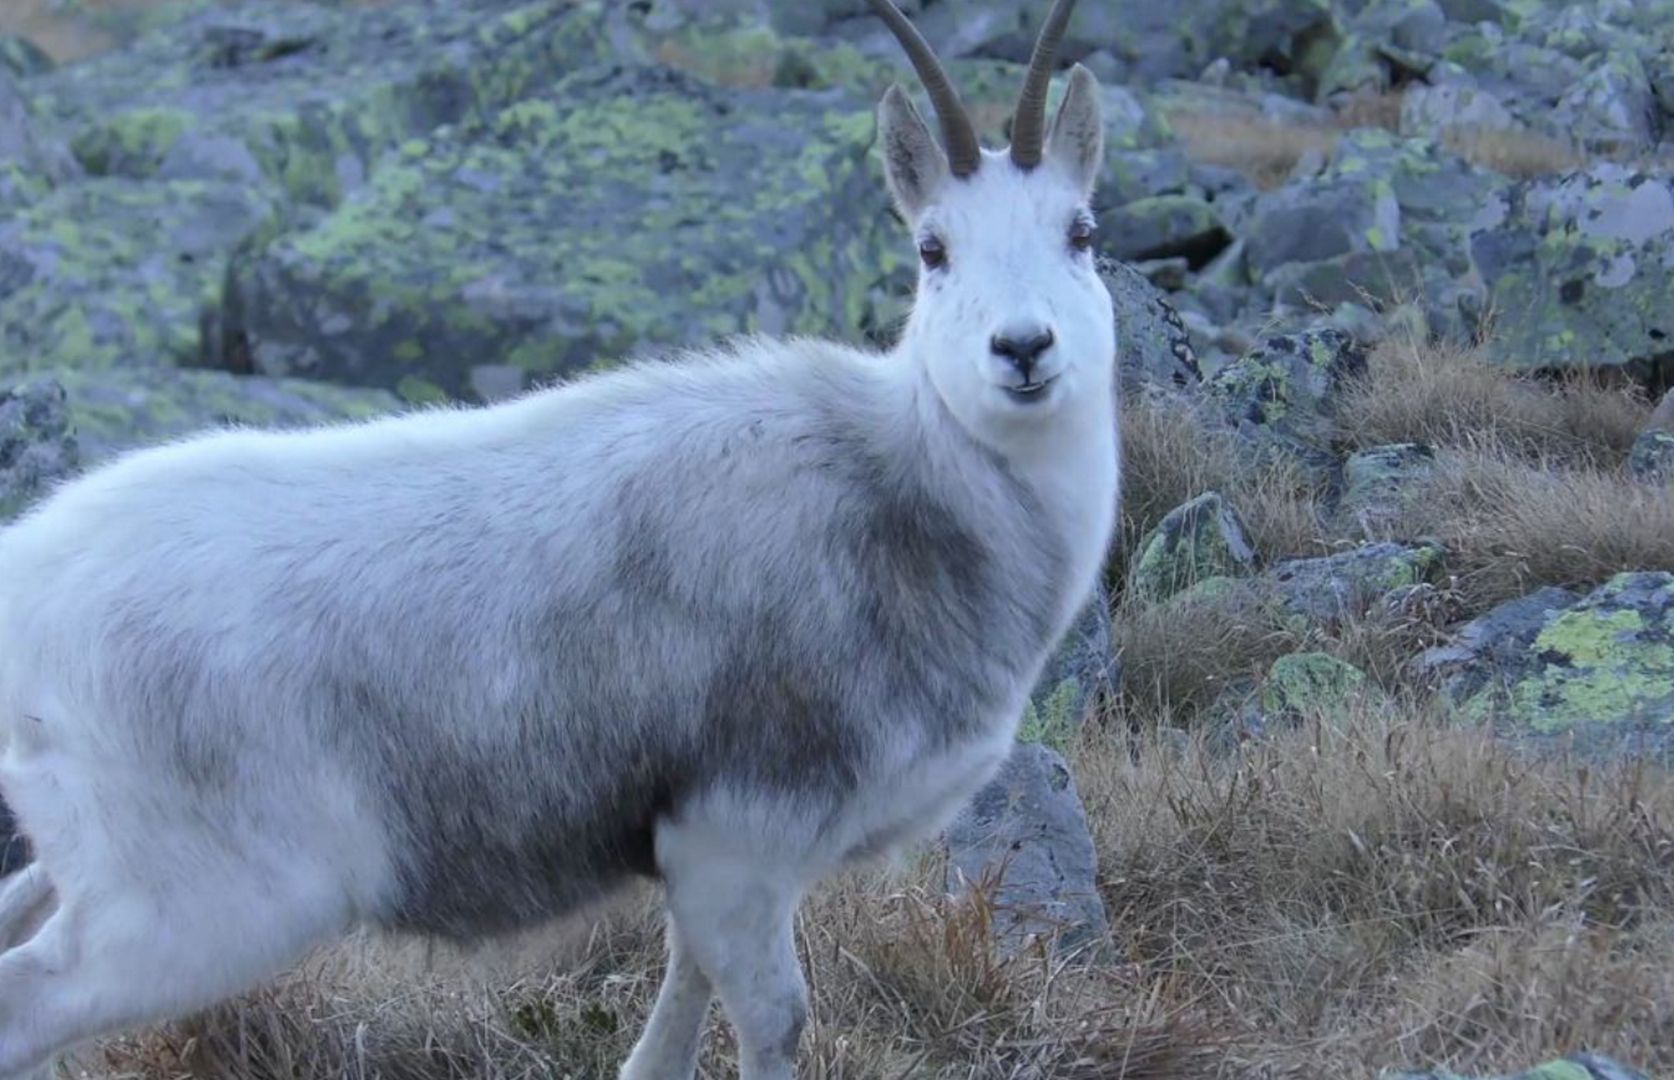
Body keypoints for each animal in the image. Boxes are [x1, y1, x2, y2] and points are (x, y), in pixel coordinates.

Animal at [0, 4, 1118, 1071]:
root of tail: (25, 598)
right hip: (194, 908)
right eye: (933, 250)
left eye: (1081, 231)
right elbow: (773, 1025)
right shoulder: (738, 840)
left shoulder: (709, 869)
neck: (905, 473)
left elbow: (676, 1017)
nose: (1023, 350)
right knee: (28, 1007)